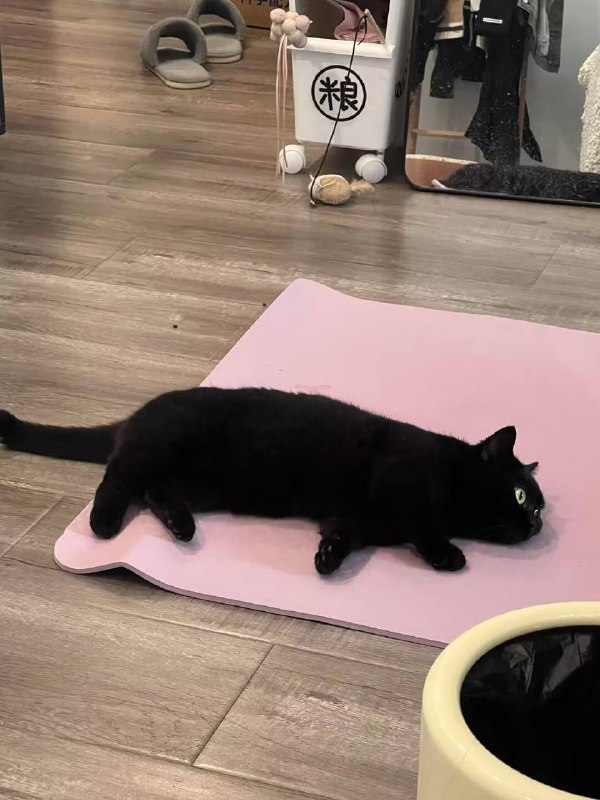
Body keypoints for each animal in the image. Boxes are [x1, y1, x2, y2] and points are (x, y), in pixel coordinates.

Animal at [0, 387, 545, 575]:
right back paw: (104, 523)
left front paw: (327, 561)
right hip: (154, 449)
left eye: (538, 507)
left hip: (195, 484)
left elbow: (343, 536)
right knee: (116, 479)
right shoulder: (401, 486)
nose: (538, 524)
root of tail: (135, 415)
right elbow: (423, 526)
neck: (449, 474)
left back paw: (181, 527)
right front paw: (449, 555)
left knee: (155, 492)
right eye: (521, 496)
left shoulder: (352, 518)